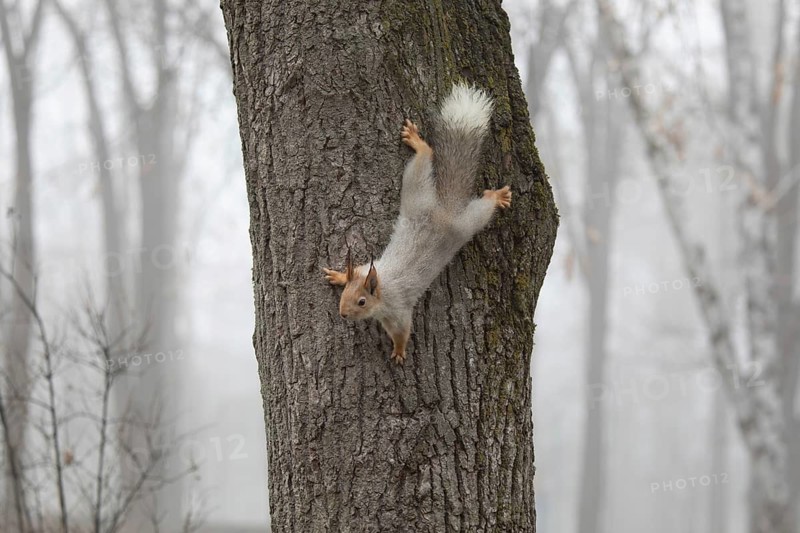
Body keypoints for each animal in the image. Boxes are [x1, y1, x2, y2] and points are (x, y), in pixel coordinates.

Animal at [323, 83, 511, 364]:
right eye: (346, 291)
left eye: (361, 302)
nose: (343, 314)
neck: (382, 288)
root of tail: (445, 209)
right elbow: (353, 268)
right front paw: (337, 275)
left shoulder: (398, 310)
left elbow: (402, 331)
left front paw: (399, 352)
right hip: (417, 193)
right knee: (426, 159)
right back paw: (417, 142)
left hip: (461, 220)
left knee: (479, 201)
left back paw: (496, 195)